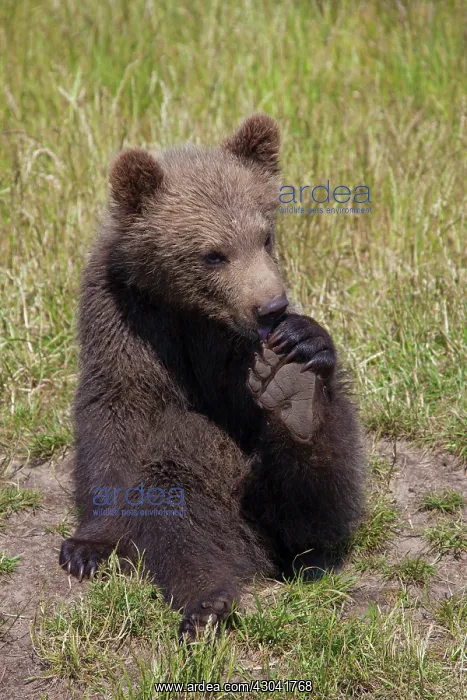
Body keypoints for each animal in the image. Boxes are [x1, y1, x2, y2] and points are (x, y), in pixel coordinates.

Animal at [59, 114, 365, 639]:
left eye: (265, 237)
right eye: (213, 254)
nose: (272, 307)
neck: (186, 309)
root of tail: (259, 549)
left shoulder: (235, 350)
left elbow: (253, 410)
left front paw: (302, 344)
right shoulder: (126, 318)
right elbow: (114, 420)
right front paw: (88, 546)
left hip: (274, 505)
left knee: (320, 487)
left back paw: (297, 399)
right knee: (177, 501)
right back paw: (207, 600)